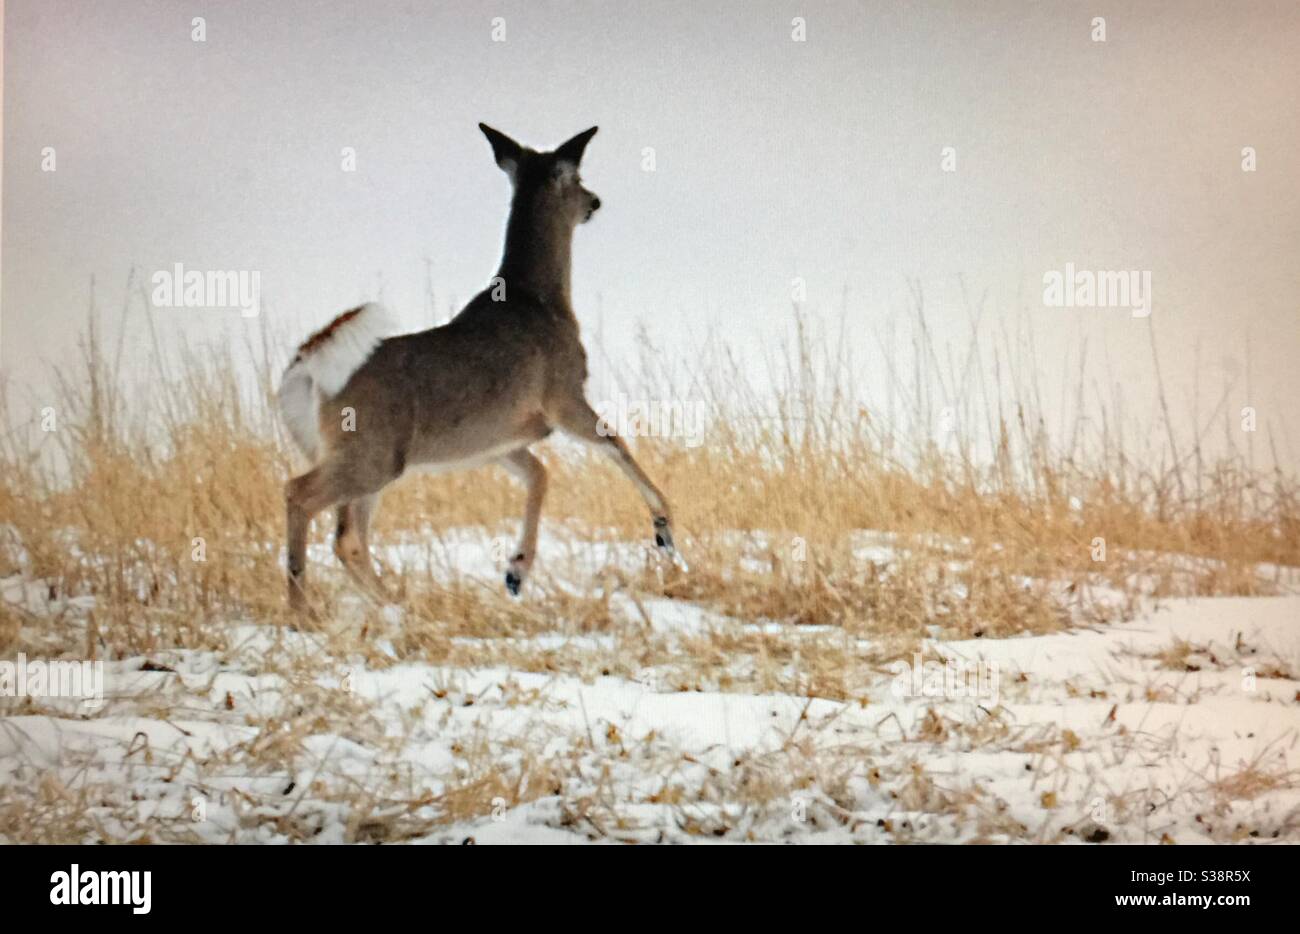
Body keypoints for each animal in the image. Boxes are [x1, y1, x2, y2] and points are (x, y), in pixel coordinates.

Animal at [276, 124, 682, 611]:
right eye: (576, 176)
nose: (595, 201)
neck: (540, 301)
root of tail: (305, 369)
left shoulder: (497, 438)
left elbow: (540, 474)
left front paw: (516, 572)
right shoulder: (562, 395)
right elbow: (615, 443)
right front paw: (665, 530)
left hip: (358, 457)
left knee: (347, 537)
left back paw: (396, 605)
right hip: (369, 454)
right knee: (299, 495)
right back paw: (303, 611)